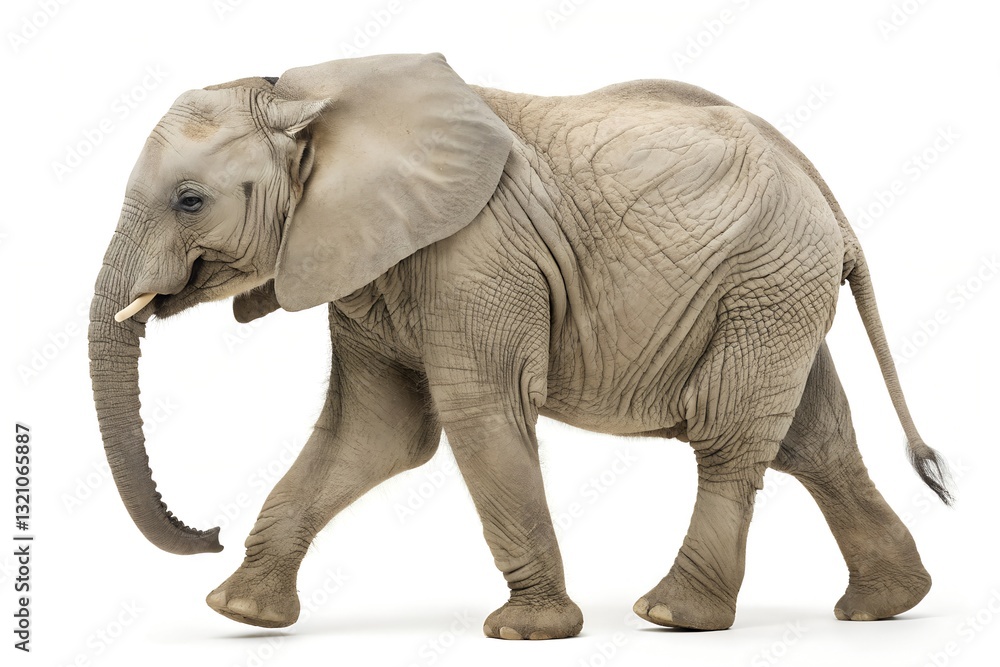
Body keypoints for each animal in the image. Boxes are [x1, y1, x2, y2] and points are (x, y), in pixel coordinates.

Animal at [89, 53, 952, 639]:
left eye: (190, 200)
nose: (208, 532)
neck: (306, 90)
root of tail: (827, 195)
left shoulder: (476, 256)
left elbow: (480, 416)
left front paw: (526, 631)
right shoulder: (365, 265)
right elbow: (374, 432)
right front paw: (240, 610)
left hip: (766, 280)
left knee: (730, 433)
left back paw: (672, 614)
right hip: (777, 290)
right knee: (815, 440)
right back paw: (885, 606)